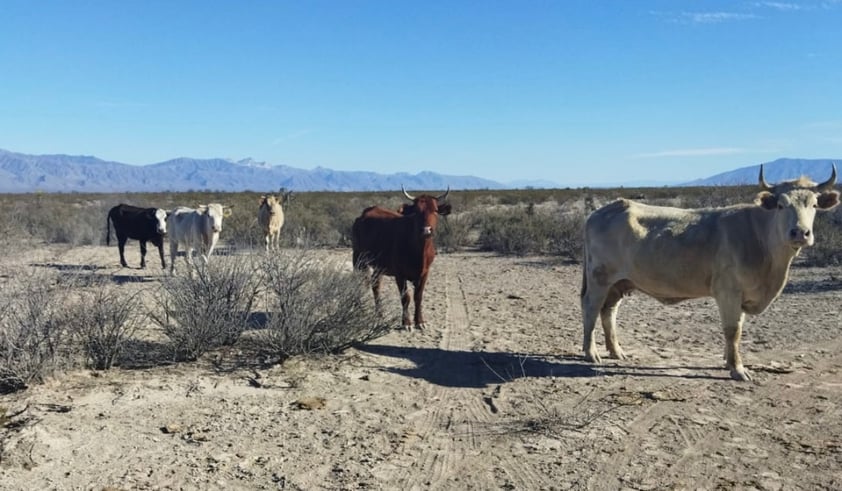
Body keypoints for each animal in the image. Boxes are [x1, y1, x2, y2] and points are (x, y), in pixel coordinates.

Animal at [350, 186, 450, 332]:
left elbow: (418, 297)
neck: (419, 252)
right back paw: (358, 307)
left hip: (379, 265)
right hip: (358, 258)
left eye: (435, 210)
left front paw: (420, 321)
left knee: (376, 284)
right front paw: (406, 323)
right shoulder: (399, 274)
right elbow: (406, 298)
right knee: (357, 280)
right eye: (416, 212)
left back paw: (379, 314)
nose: (426, 230)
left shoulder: (425, 272)